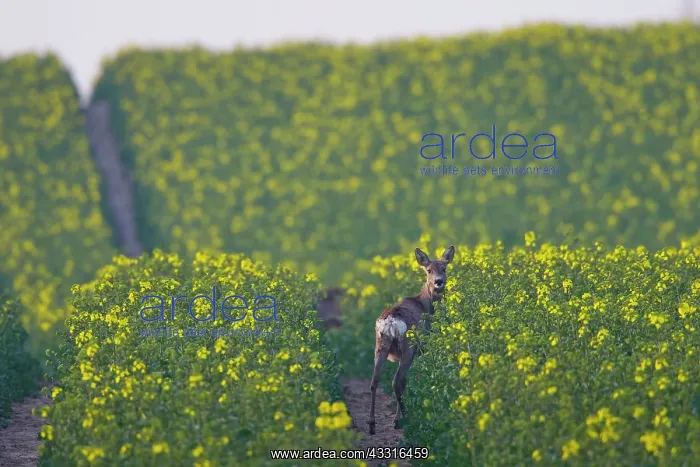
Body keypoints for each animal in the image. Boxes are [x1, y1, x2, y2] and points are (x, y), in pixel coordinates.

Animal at [368, 245, 455, 435]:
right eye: (428, 270)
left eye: (444, 268)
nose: (438, 282)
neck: (426, 306)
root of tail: (390, 322)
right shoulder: (420, 349)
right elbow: (406, 381)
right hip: (408, 346)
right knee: (396, 381)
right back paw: (403, 420)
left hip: (380, 346)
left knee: (375, 380)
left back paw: (371, 424)